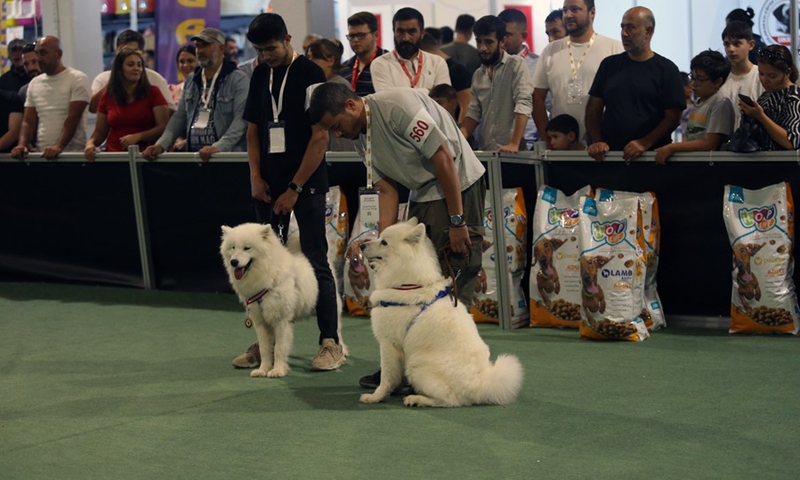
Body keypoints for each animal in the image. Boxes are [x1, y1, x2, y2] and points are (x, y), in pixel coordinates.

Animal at [220, 223, 346, 376]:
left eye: (247, 248)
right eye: (233, 247)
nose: (234, 262)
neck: (268, 275)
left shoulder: (281, 321)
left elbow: (279, 348)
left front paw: (278, 370)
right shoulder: (261, 323)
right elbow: (265, 349)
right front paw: (263, 370)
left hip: (332, 307)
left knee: (337, 330)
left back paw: (341, 352)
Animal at [360, 219, 520, 406]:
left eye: (384, 242)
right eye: (379, 238)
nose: (362, 245)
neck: (408, 284)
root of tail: (480, 385)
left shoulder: (388, 344)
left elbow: (386, 376)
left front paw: (376, 396)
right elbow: (394, 376)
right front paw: (393, 390)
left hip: (416, 364)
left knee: (450, 399)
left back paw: (417, 399)